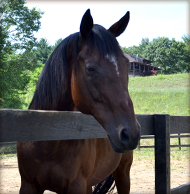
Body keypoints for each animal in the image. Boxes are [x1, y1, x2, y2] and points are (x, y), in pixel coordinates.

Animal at [17, 9, 140, 194]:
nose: (130, 133)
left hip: (123, 173)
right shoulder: (28, 185)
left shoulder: (76, 185)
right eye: (90, 68)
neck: (48, 142)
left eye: (126, 65)